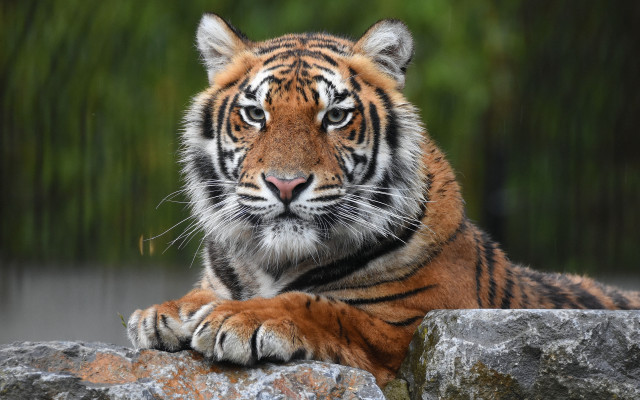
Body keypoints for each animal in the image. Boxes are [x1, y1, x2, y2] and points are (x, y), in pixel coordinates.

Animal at [127, 13, 640, 387]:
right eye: (255, 114)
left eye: (335, 116)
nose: (285, 184)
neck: (274, 260)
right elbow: (203, 294)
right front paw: (164, 314)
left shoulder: (414, 320)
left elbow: (322, 308)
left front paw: (236, 319)